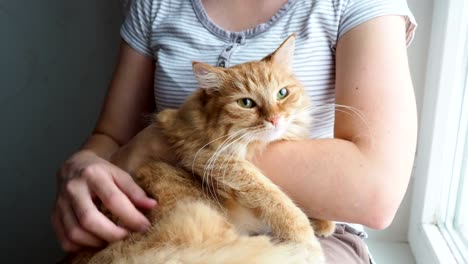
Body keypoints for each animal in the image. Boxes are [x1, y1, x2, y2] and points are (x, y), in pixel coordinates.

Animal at [66, 34, 336, 264]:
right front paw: (308, 241)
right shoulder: (212, 157)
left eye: (282, 93)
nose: (275, 119)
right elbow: (277, 199)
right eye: (246, 103)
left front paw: (323, 222)